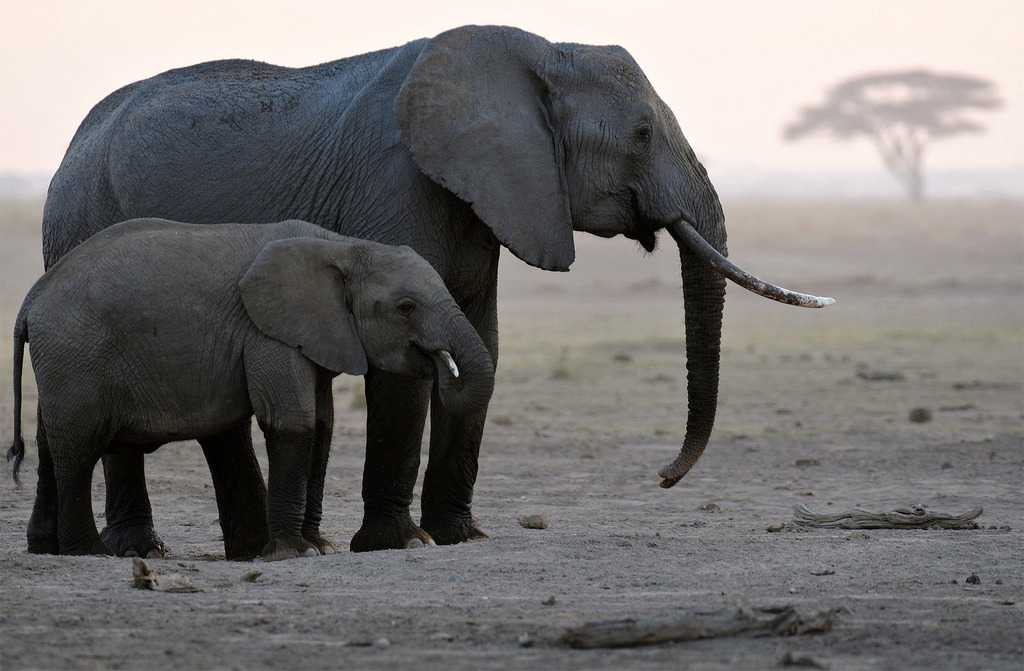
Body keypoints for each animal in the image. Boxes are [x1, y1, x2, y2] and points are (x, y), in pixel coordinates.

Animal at [7, 218, 495, 560]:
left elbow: (320, 425)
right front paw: (293, 554)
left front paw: (316, 549)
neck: (342, 246)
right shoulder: (266, 332)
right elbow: (293, 422)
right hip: (75, 355)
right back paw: (91, 554)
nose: (442, 363)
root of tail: (29, 301)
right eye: (406, 308)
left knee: (54, 444)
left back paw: (52, 548)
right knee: (78, 451)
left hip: (64, 363)